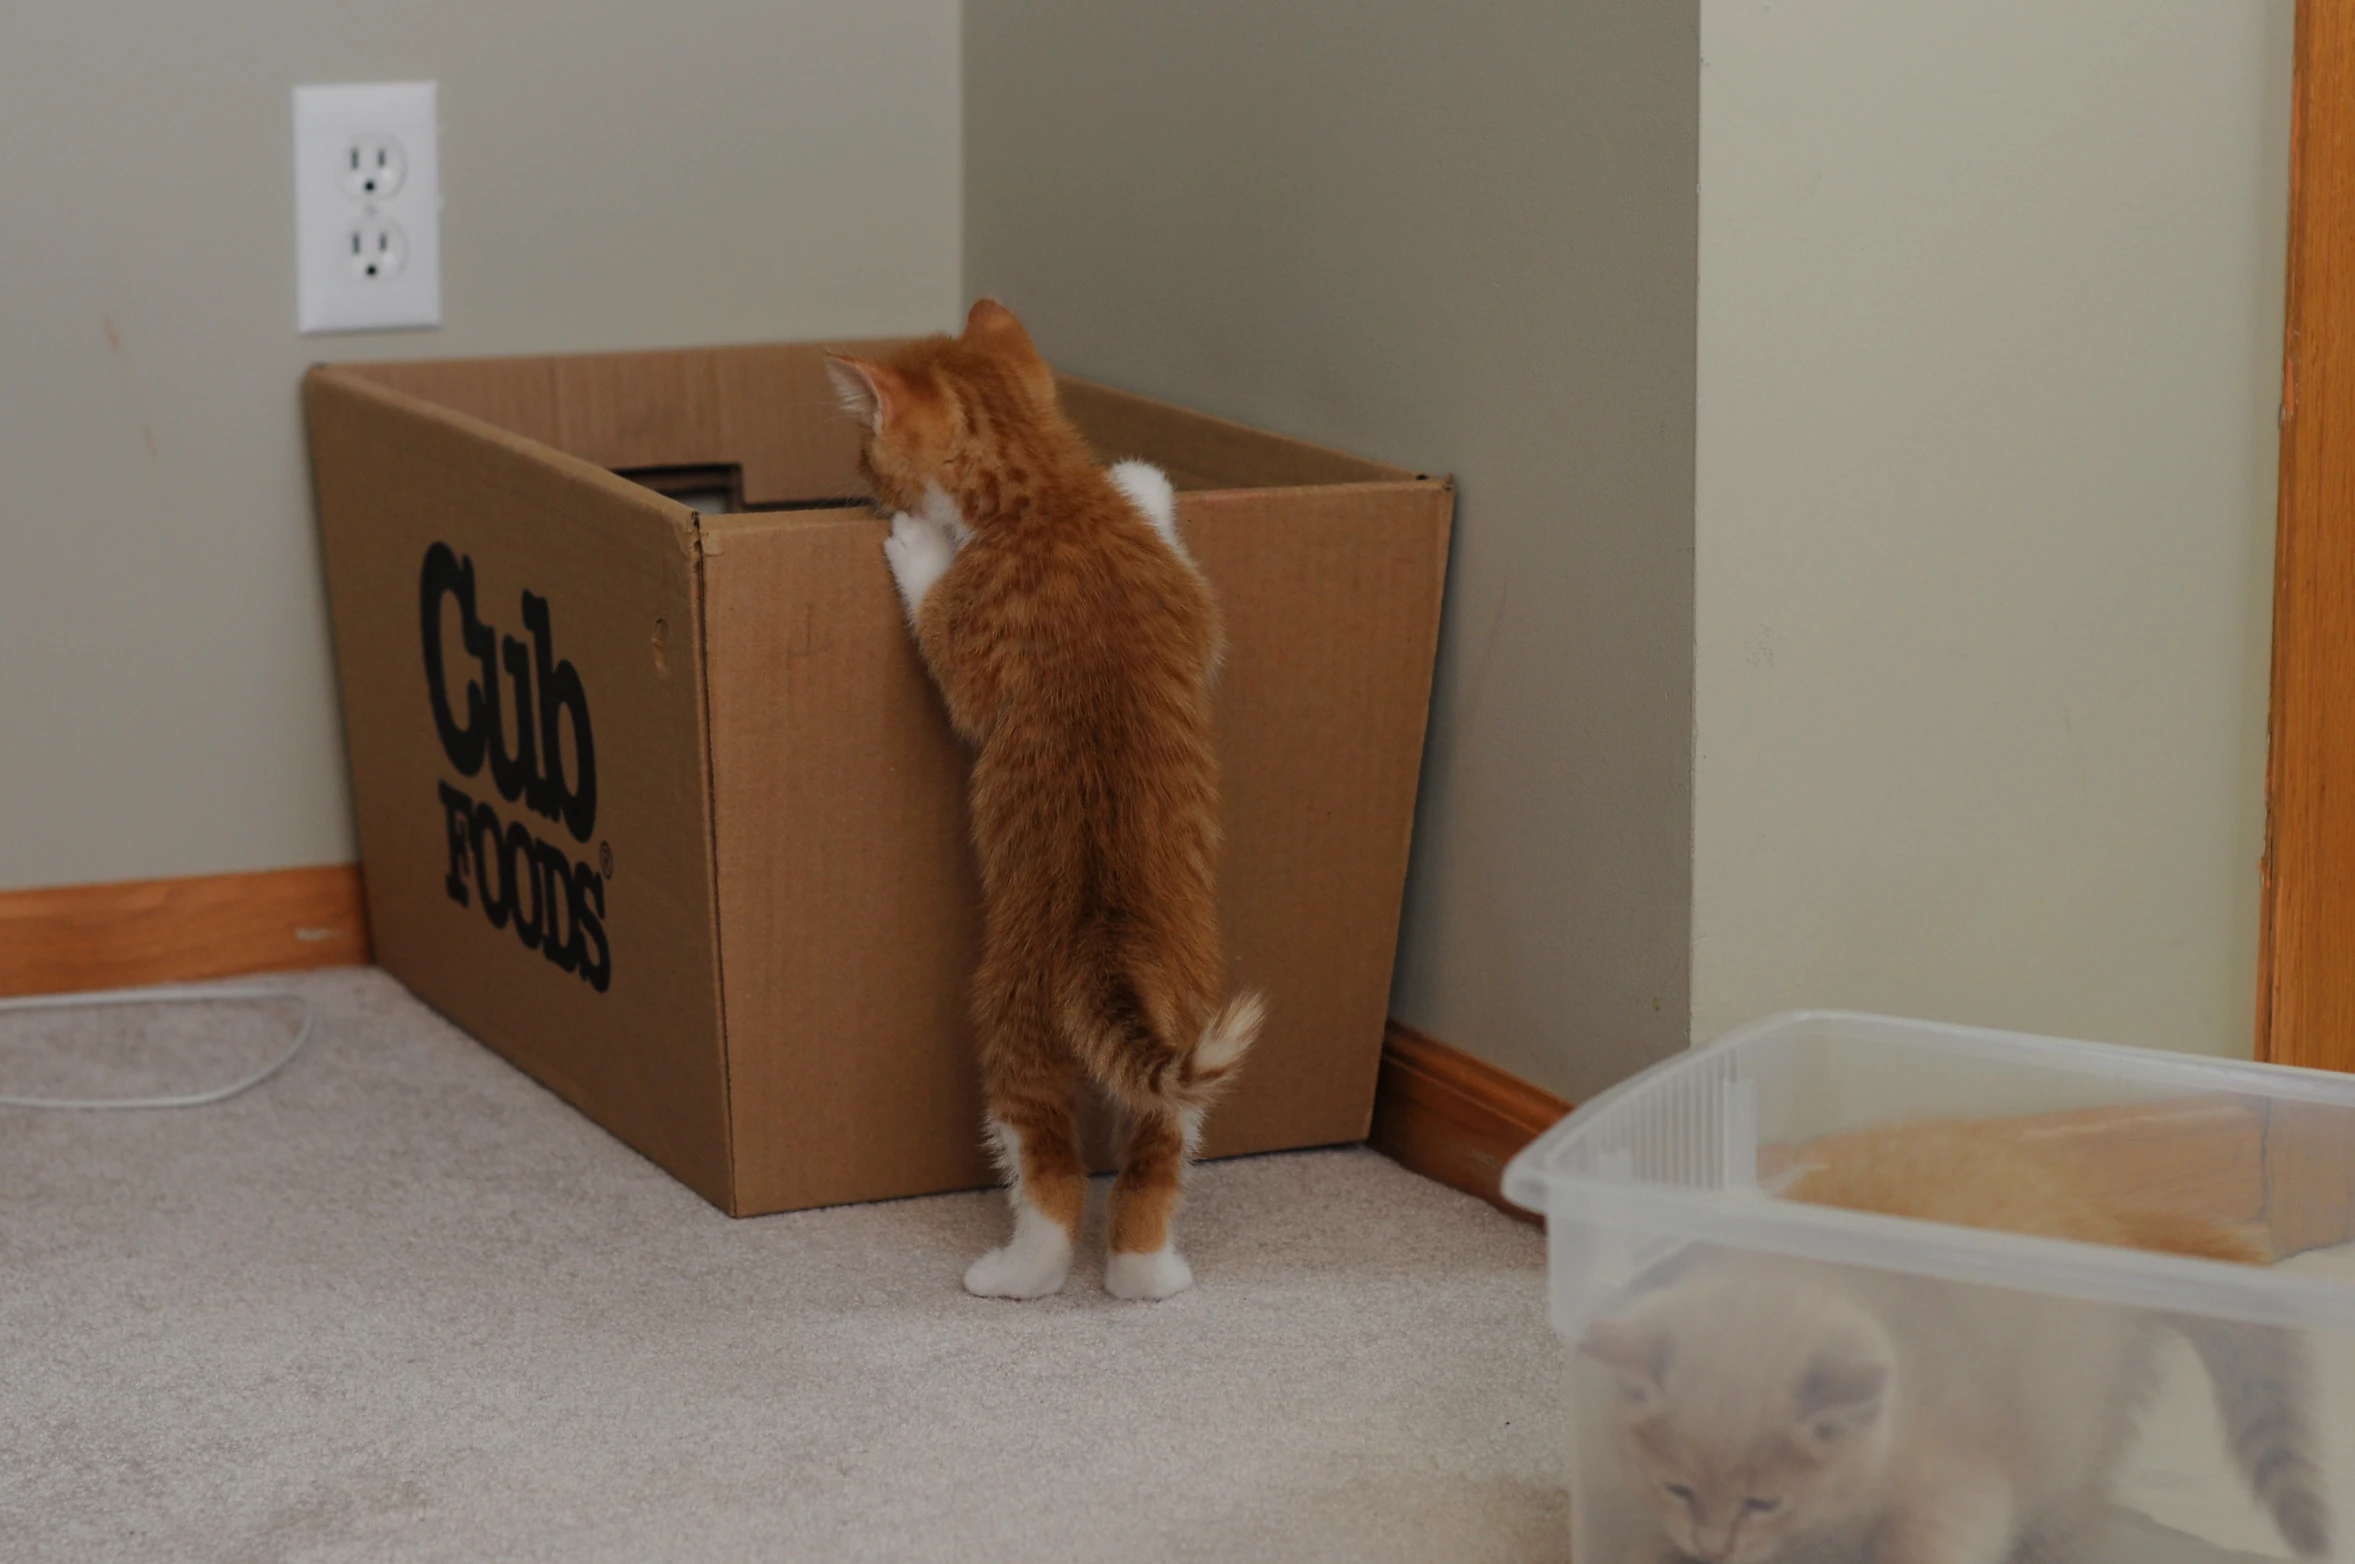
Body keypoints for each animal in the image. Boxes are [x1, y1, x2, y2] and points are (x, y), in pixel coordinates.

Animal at [833, 299, 1271, 1300]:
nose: (862, 486)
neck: (1048, 498)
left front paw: (918, 543)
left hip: (1012, 1027)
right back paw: (1150, 1277)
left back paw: (1016, 1272)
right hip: (1186, 1018)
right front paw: (1144, 479)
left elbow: (947, 646)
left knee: (1051, 1168)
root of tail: (1104, 952)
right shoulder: (1192, 610)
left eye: (868, 452)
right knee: (1158, 1150)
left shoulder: (975, 638)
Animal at [1573, 1125, 2326, 1564]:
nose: (1713, 1546)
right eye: (1676, 1489)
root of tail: (2111, 1221)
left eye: (1764, 1502)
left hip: (2066, 1443)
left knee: (2071, 1518)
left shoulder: (1955, 1487)